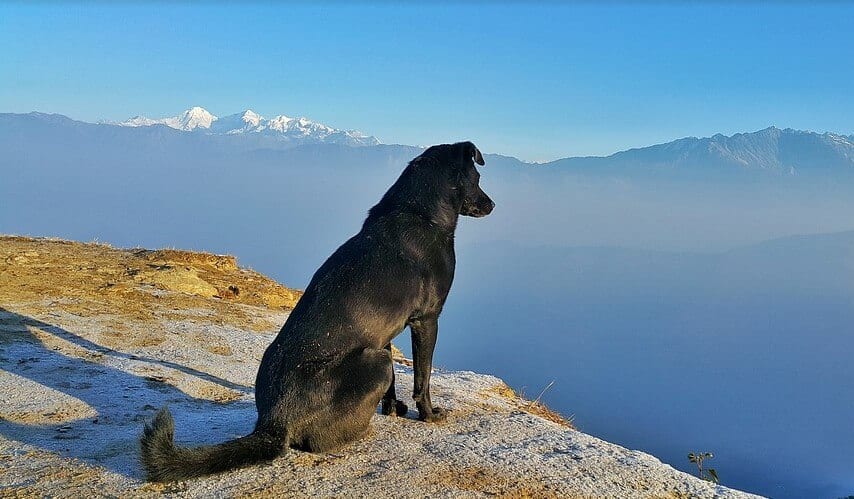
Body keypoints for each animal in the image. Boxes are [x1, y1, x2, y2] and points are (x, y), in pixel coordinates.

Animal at [142, 142, 494, 484]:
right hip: (376, 362)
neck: (419, 211)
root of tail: (274, 421)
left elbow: (397, 382)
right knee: (319, 441)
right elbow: (424, 377)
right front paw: (429, 414)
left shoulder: (384, 333)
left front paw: (393, 408)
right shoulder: (427, 320)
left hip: (374, 353)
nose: (491, 205)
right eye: (478, 178)